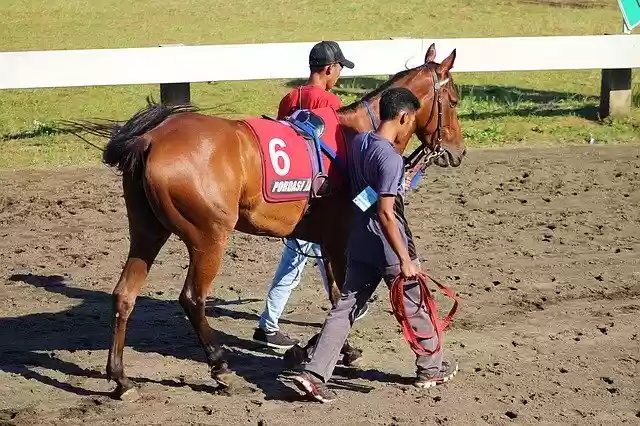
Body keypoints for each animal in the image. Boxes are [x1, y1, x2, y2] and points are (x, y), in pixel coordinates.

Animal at [72, 43, 465, 398]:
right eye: (455, 100)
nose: (458, 152)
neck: (357, 137)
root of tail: (152, 138)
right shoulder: (341, 240)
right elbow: (346, 297)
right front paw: (319, 351)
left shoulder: (325, 241)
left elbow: (338, 296)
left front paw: (324, 349)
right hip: (209, 238)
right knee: (192, 298)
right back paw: (220, 368)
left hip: (147, 231)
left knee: (124, 295)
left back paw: (121, 380)